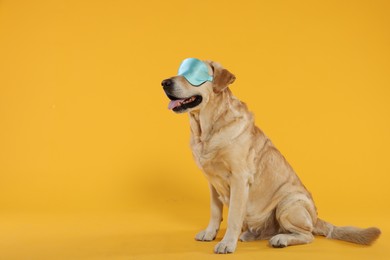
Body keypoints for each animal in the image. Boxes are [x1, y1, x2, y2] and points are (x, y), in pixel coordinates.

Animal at [161, 59, 380, 254]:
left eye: (192, 74)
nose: (164, 82)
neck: (206, 128)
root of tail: (317, 219)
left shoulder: (239, 177)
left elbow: (233, 216)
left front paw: (227, 243)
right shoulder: (212, 182)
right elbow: (215, 212)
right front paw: (209, 233)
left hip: (288, 204)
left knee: (307, 235)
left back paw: (280, 239)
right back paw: (251, 234)